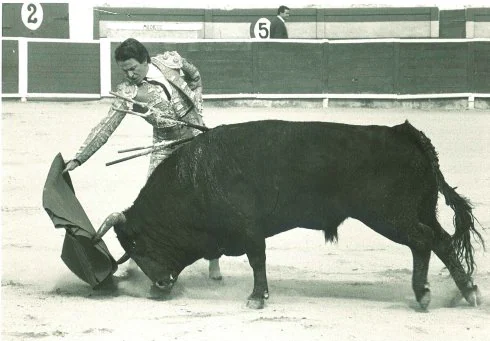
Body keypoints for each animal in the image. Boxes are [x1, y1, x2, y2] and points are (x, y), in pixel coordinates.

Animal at [94, 119, 484, 308]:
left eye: (137, 245)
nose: (158, 287)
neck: (193, 179)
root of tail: (405, 133)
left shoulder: (249, 229)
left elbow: (257, 260)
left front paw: (256, 298)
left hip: (389, 216)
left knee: (423, 241)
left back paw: (424, 294)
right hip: (421, 210)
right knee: (442, 241)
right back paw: (468, 292)